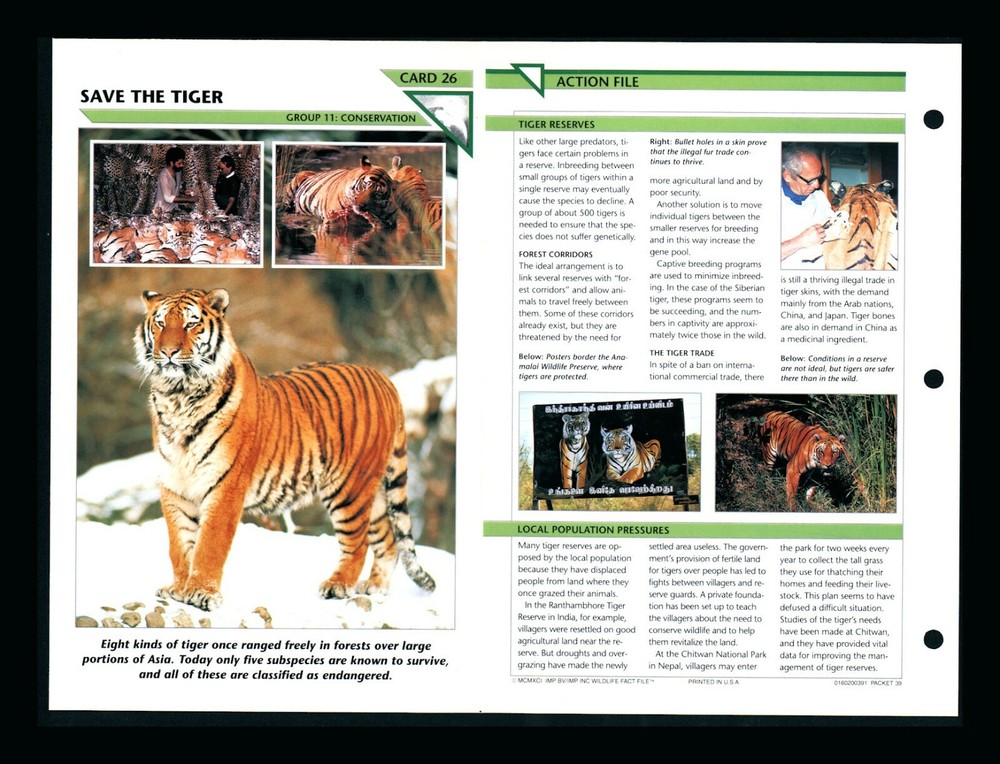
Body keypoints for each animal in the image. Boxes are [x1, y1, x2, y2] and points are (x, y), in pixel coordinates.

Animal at [134, 288, 435, 612]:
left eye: (191, 324)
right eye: (161, 323)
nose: (168, 352)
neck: (179, 395)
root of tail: (384, 379)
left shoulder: (225, 486)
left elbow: (209, 545)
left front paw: (202, 592)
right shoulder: (175, 486)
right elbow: (179, 545)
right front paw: (179, 588)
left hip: (350, 487)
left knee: (359, 542)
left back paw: (338, 585)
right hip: (373, 489)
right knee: (388, 538)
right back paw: (376, 587)